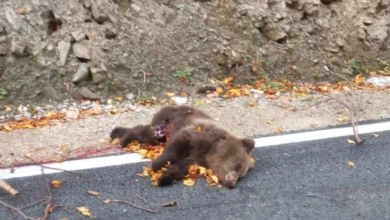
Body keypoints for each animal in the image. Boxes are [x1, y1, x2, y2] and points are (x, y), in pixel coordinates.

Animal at [109, 105, 256, 189]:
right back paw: (122, 137)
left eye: (241, 176)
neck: (210, 153)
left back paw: (118, 133)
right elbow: (174, 149)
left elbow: (183, 168)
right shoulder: (195, 135)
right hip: (165, 125)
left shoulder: (196, 160)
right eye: (238, 166)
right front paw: (156, 165)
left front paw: (165, 178)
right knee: (148, 132)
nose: (233, 183)